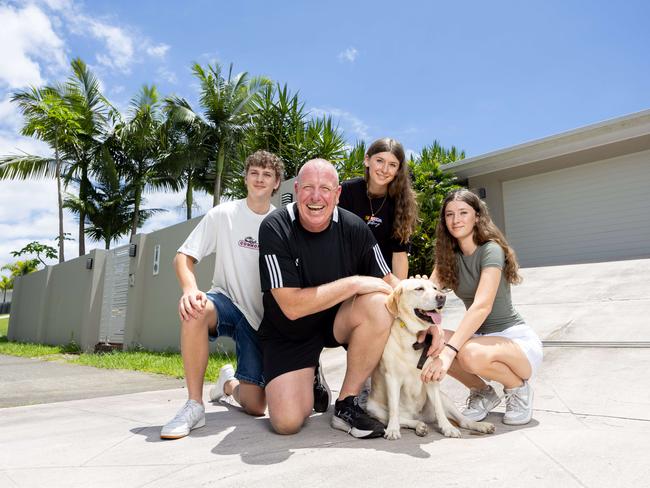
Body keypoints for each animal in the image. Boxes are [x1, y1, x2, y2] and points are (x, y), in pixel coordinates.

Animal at [364, 276, 492, 440]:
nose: (442, 297)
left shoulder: (431, 377)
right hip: (373, 409)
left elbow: (439, 409)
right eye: (419, 289)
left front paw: (447, 428)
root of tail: (419, 416)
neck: (414, 337)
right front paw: (392, 429)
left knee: (463, 420)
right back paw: (419, 426)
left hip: (445, 398)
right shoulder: (392, 378)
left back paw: (481, 426)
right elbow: (394, 409)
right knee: (402, 419)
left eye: (435, 288)